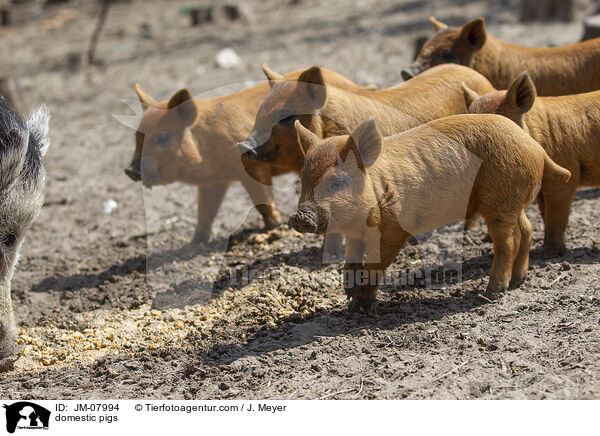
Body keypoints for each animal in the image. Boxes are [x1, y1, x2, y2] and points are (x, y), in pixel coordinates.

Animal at [290, 114, 572, 308]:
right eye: (304, 181)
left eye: (337, 181)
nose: (300, 216)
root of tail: (536, 148)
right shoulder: (355, 232)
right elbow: (350, 261)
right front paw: (349, 294)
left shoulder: (394, 229)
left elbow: (375, 265)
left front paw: (359, 305)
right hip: (514, 202)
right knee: (527, 229)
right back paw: (517, 282)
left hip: (500, 198)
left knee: (507, 241)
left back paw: (492, 293)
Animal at [466, 70, 600, 255]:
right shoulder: (543, 187)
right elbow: (544, 214)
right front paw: (544, 249)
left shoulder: (565, 176)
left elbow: (556, 217)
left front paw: (549, 254)